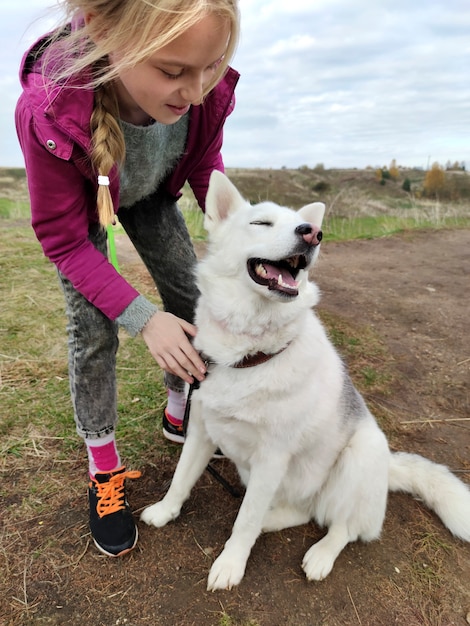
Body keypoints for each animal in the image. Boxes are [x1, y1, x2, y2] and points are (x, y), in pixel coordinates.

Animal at [141, 171, 470, 588]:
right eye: (261, 223)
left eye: (304, 225)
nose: (313, 233)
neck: (249, 354)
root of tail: (388, 470)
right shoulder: (201, 432)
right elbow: (181, 480)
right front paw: (165, 511)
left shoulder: (271, 458)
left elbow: (243, 523)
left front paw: (231, 564)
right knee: (300, 512)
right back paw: (272, 521)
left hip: (359, 455)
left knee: (343, 526)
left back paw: (321, 555)